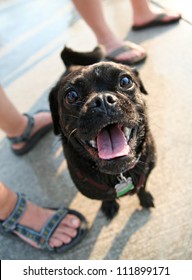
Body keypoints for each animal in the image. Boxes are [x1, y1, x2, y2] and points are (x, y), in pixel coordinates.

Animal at [49, 47, 156, 220]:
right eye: (71, 96)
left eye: (125, 81)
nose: (102, 100)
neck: (120, 174)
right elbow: (105, 197)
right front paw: (109, 205)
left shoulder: (146, 172)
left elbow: (142, 186)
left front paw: (144, 198)